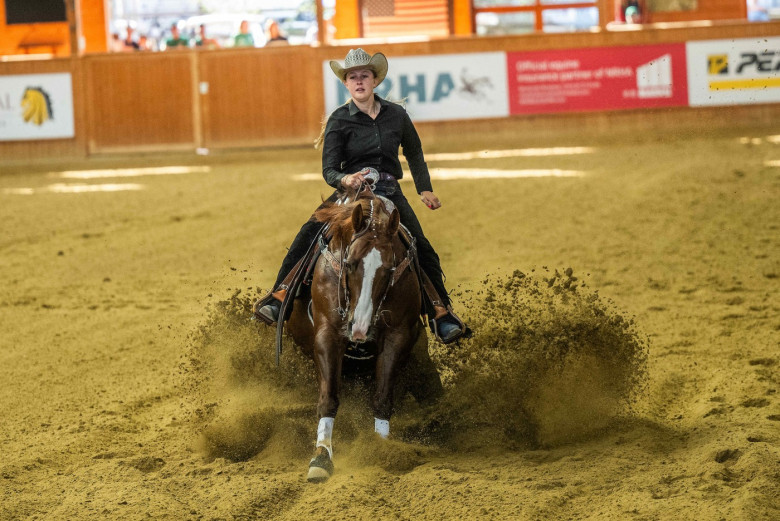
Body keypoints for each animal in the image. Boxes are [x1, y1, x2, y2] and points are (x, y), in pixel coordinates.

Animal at [284, 186, 424, 480]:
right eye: (349, 263)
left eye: (390, 269)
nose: (359, 328)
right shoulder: (327, 334)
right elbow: (328, 398)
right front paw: (321, 458)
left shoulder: (397, 337)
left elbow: (382, 397)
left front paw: (380, 449)